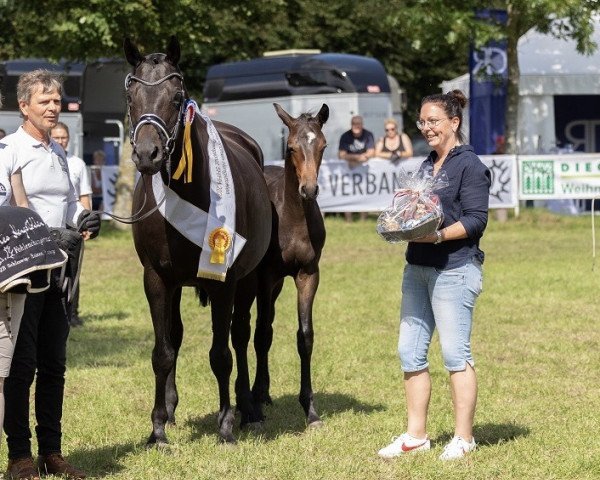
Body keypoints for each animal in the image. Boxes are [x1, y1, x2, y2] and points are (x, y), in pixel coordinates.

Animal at [124, 37, 272, 446]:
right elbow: (163, 351)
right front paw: (158, 427)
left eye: (176, 97)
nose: (147, 155)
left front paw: (225, 425)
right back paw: (172, 409)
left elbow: (221, 354)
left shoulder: (224, 282)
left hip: (247, 281)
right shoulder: (157, 279)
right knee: (176, 336)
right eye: (130, 96)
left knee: (241, 335)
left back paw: (248, 408)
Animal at [234, 103, 328, 426]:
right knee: (253, 330)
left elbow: (305, 336)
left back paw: (262, 392)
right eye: (291, 147)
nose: (309, 190)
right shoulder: (265, 277)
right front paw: (253, 405)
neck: (293, 218)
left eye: (323, 145)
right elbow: (260, 334)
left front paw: (310, 410)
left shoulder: (308, 275)